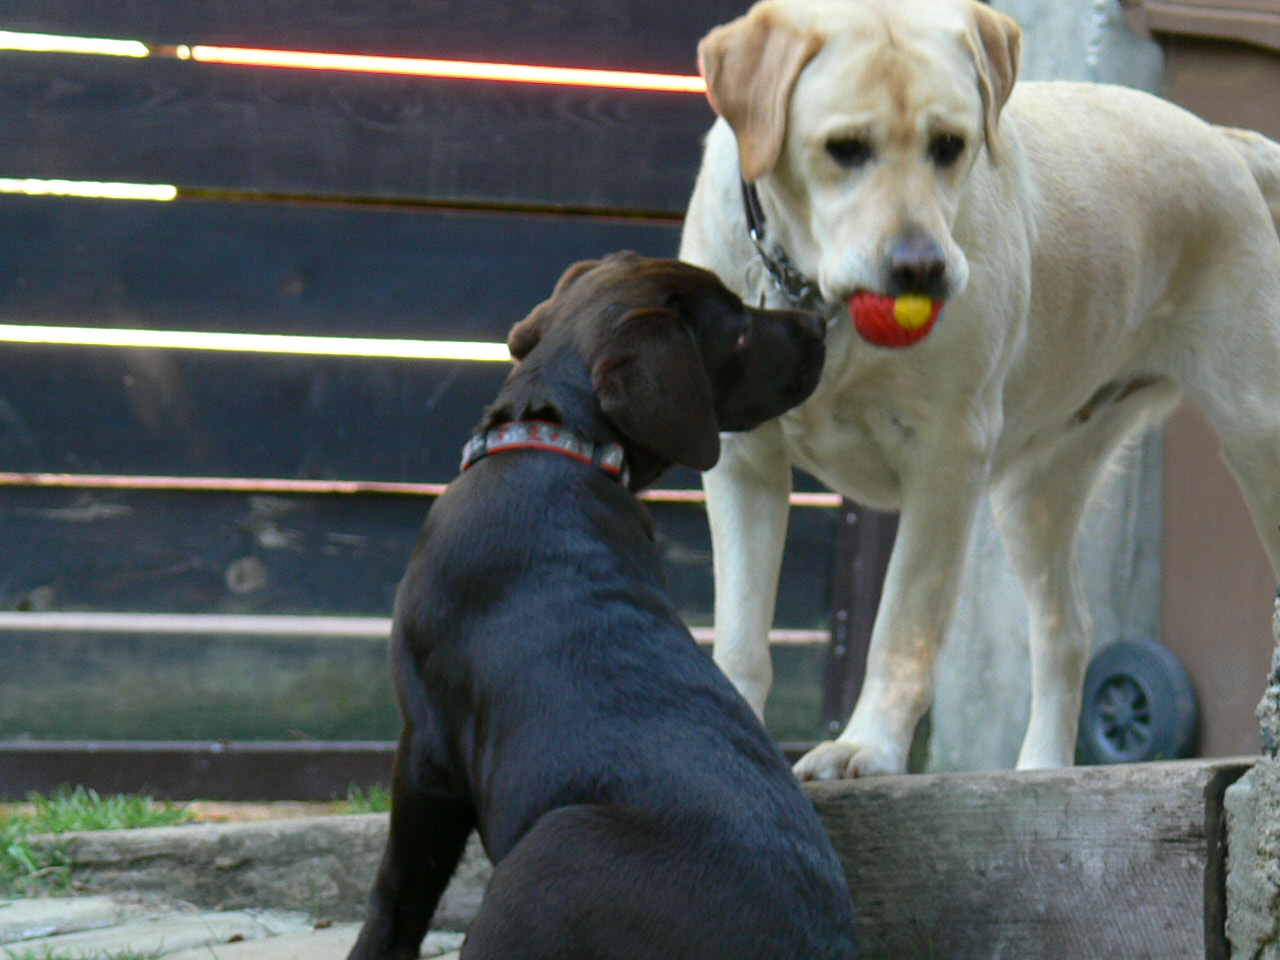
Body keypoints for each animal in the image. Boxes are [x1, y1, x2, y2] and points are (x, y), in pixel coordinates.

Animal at [348, 253, 860, 960]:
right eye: (739, 331)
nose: (816, 324)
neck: (559, 444)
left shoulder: (427, 749)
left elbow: (398, 892)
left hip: (551, 846)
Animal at [680, 0, 1280, 783]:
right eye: (843, 148)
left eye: (949, 145)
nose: (921, 267)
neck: (815, 295)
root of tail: (1224, 140)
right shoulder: (745, 460)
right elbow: (743, 638)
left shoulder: (946, 457)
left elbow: (902, 625)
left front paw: (867, 747)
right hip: (1035, 492)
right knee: (1067, 630)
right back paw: (1043, 768)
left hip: (1258, 435)